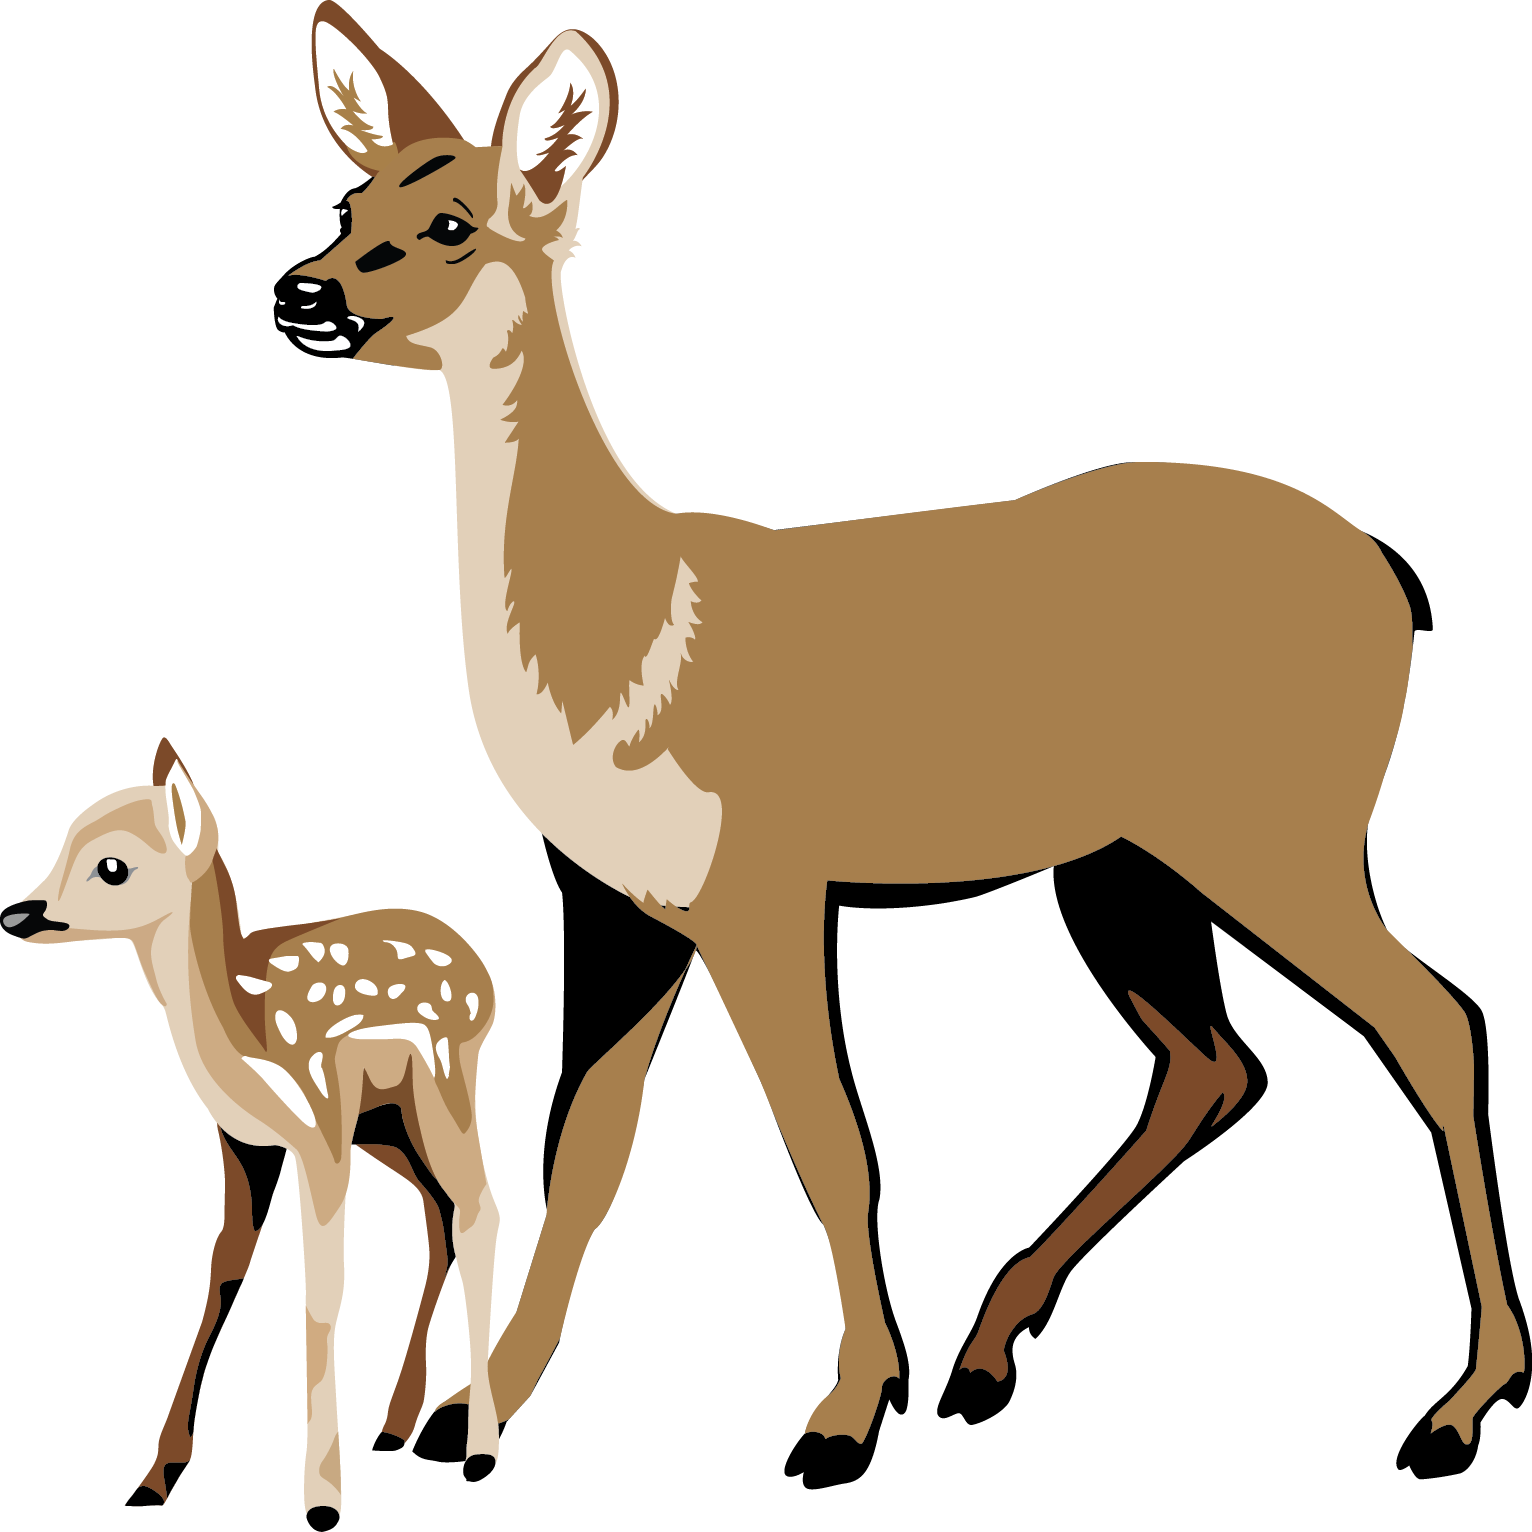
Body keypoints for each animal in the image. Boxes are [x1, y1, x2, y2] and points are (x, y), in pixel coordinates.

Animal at [2, 740, 501, 1528]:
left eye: (112, 866)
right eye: (61, 842)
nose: (16, 912)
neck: (243, 1028)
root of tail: (487, 977)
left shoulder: (320, 1121)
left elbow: (322, 1286)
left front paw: (322, 1503)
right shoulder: (246, 1141)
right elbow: (223, 1268)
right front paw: (155, 1477)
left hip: (444, 1082)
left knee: (480, 1207)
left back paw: (478, 1454)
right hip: (387, 1127)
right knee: (441, 1210)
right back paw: (394, 1427)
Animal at [269, 3, 1528, 1491]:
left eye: (455, 220)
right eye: (346, 202)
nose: (303, 293)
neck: (625, 650)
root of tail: (1399, 578)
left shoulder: (764, 885)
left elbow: (832, 1140)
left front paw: (841, 1417)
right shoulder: (613, 902)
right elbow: (581, 1150)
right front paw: (478, 1416)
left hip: (1273, 826)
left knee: (1432, 1018)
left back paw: (1458, 1407)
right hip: (1122, 862)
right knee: (1216, 1061)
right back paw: (987, 1358)